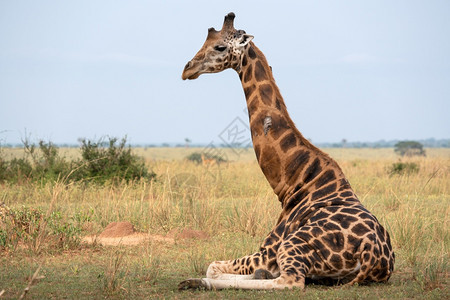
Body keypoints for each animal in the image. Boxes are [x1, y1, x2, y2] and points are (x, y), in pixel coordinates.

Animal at [178, 12, 394, 290]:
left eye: (220, 47)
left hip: (292, 245)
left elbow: (213, 266)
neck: (293, 182)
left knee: (289, 281)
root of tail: (373, 258)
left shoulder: (267, 250)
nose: (187, 69)